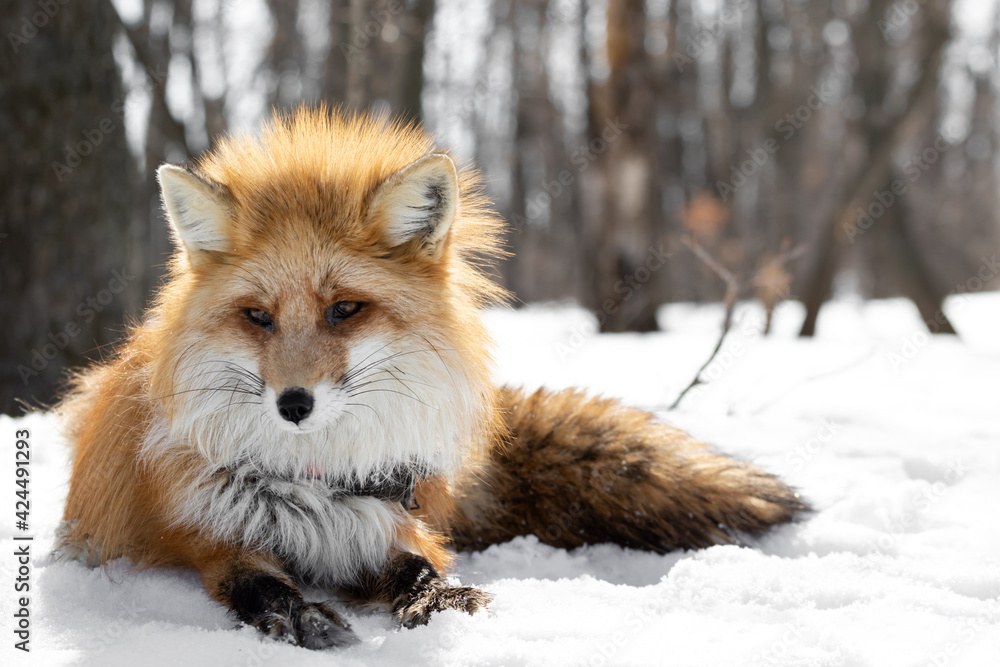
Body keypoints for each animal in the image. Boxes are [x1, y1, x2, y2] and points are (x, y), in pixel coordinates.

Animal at [56, 106, 807, 649]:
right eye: (258, 317)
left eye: (344, 309)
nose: (293, 404)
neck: (318, 479)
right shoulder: (203, 534)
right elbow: (257, 585)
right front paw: (300, 616)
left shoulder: (390, 519)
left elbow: (420, 565)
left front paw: (439, 599)